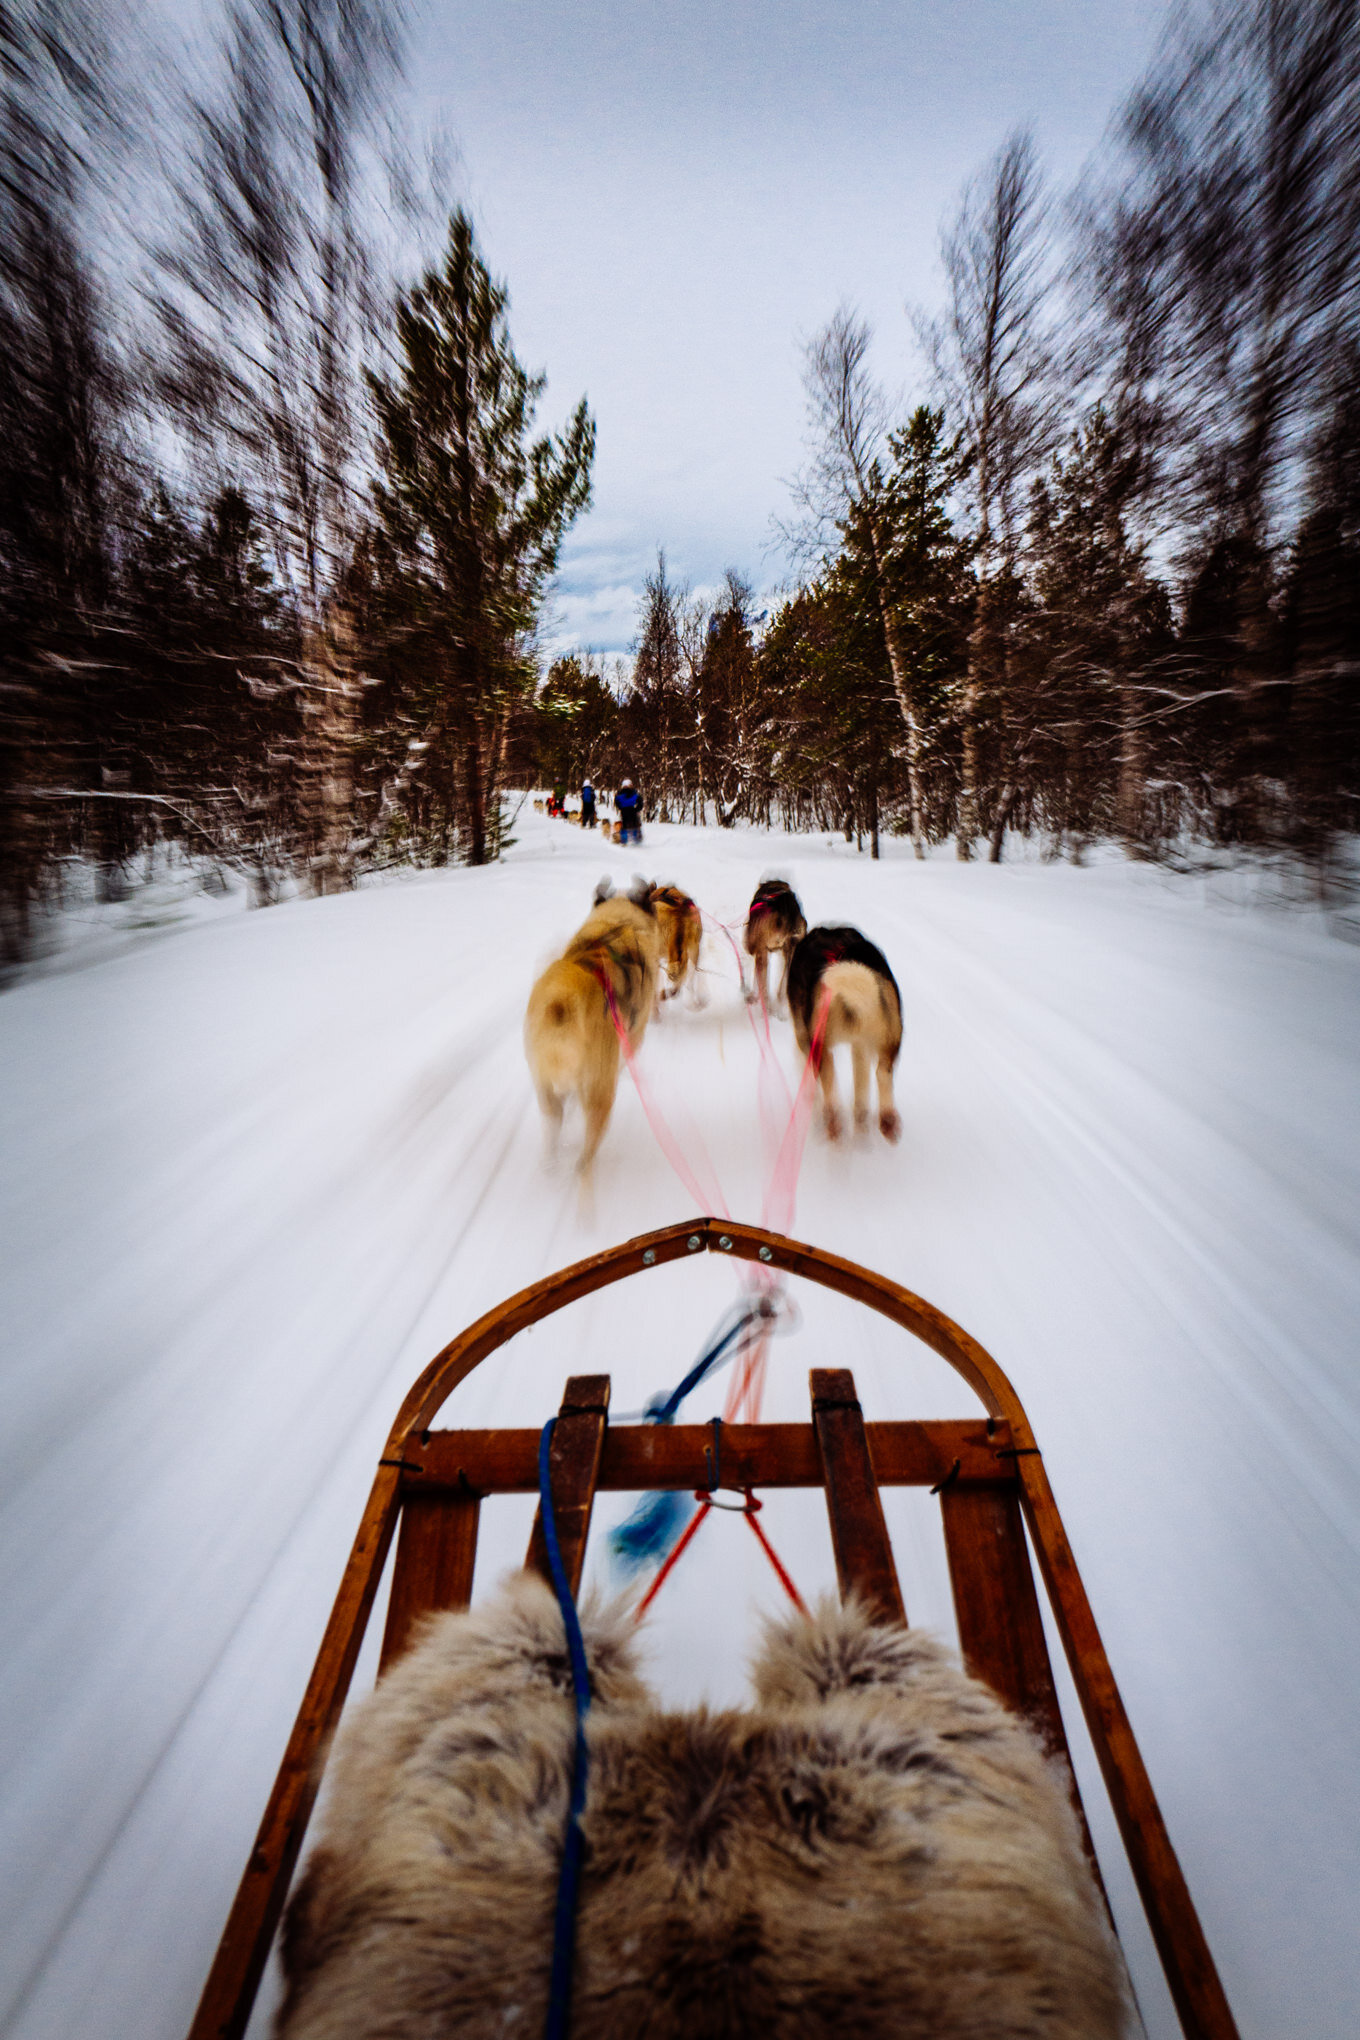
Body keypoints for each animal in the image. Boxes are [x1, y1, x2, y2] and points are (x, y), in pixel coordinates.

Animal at [526, 881, 660, 1183]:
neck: (619, 922)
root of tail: (561, 1003)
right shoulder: (632, 1040)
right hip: (601, 1091)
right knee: (589, 1144)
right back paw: (583, 1169)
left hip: (544, 1085)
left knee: (554, 1120)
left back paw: (550, 1164)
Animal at [787, 930, 905, 1142]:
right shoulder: (859, 1045)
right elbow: (862, 1085)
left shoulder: (805, 1040)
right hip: (887, 1040)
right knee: (882, 1073)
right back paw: (886, 1120)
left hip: (820, 1046)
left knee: (829, 1079)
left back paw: (833, 1120)